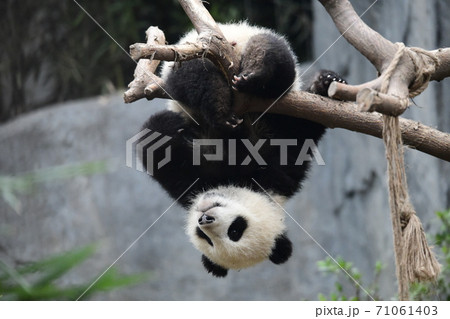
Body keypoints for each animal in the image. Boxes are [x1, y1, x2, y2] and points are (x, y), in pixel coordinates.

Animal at [141, 21, 344, 278]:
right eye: (206, 238)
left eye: (235, 231)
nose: (204, 218)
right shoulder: (194, 184)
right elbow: (158, 146)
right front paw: (166, 126)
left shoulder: (281, 174)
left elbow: (299, 134)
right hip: (196, 54)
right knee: (198, 75)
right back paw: (223, 105)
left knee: (274, 60)